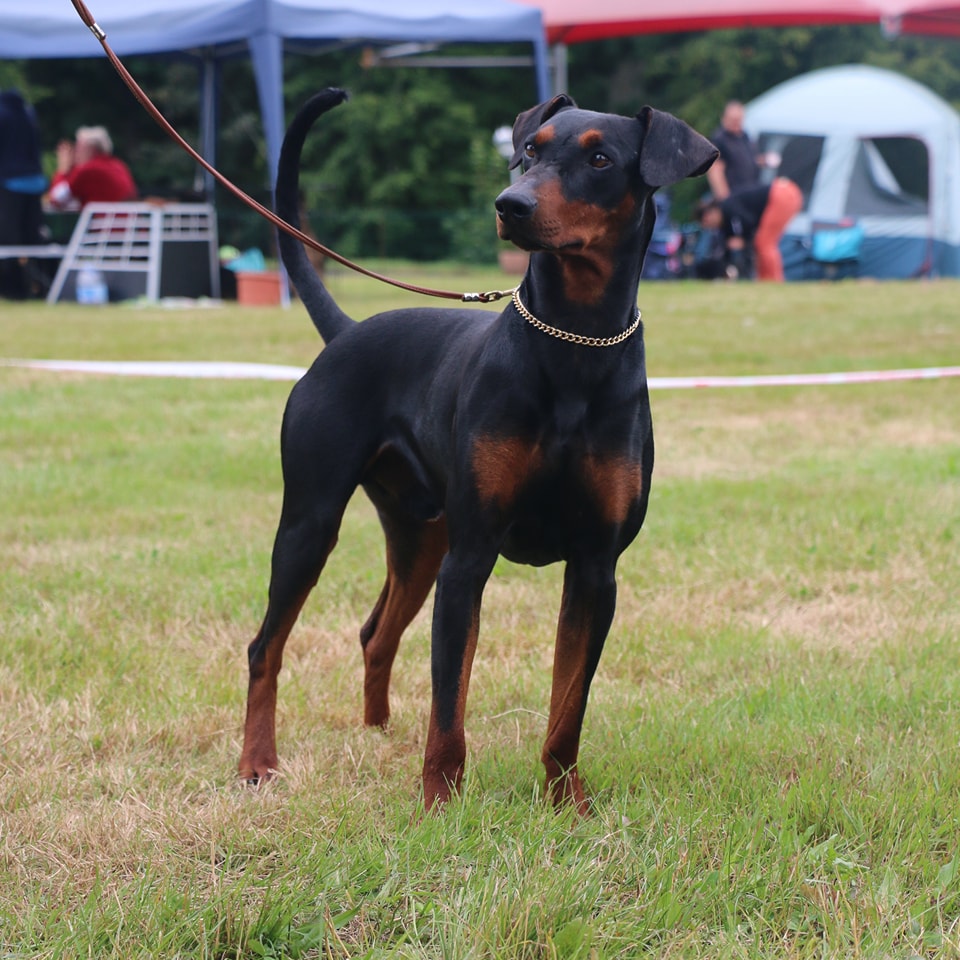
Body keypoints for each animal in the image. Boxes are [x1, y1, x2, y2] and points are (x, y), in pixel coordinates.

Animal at [240, 88, 716, 808]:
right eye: (529, 151)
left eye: (600, 159)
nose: (510, 204)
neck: (576, 344)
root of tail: (345, 332)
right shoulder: (469, 557)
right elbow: (449, 701)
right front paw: (439, 799)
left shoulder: (595, 569)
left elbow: (568, 705)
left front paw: (566, 801)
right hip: (311, 523)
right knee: (265, 647)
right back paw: (257, 762)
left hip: (418, 535)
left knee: (375, 633)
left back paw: (376, 734)